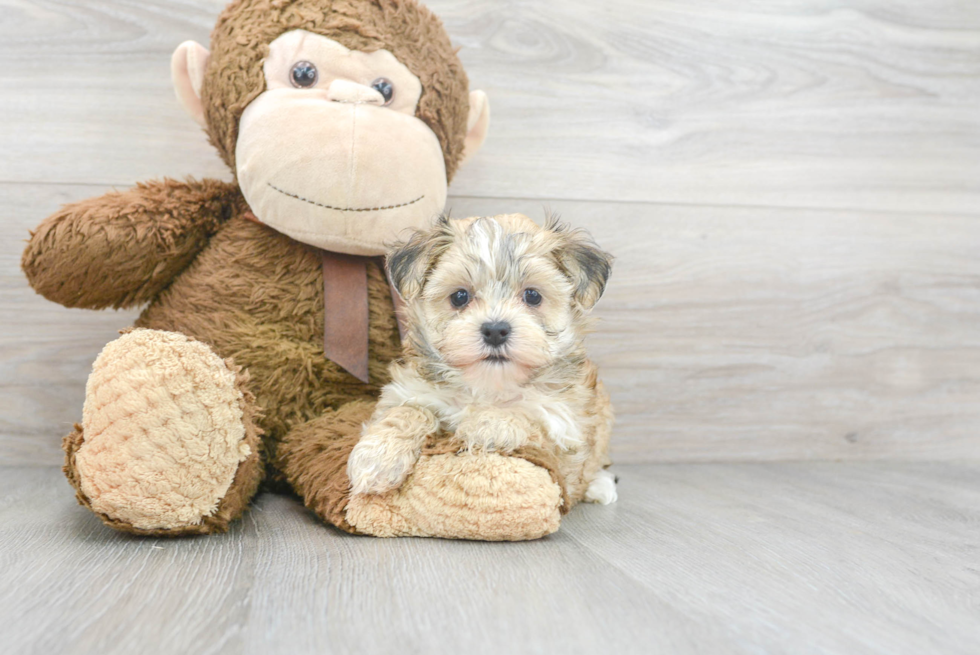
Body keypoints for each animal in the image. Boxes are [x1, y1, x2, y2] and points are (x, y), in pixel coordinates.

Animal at [348, 215, 616, 508]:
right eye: (459, 297)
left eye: (533, 296)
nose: (495, 330)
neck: (489, 384)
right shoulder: (409, 392)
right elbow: (408, 412)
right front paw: (376, 458)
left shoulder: (564, 427)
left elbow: (528, 416)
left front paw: (486, 425)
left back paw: (601, 487)